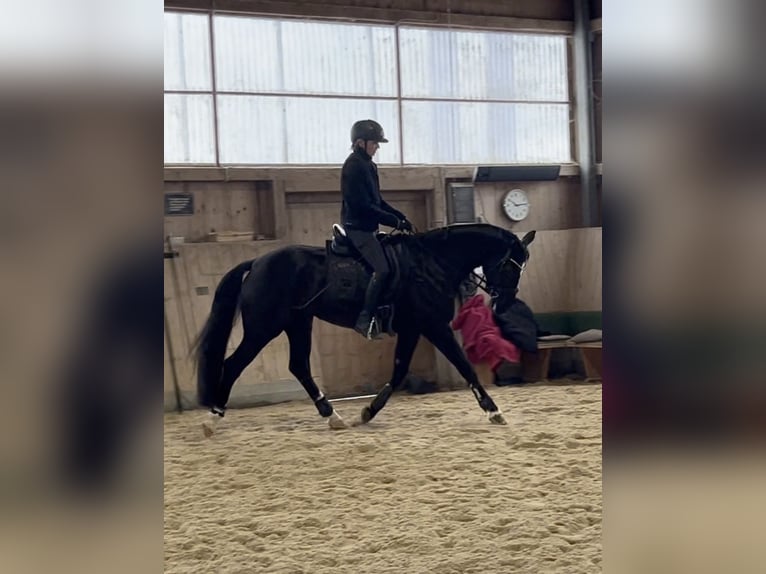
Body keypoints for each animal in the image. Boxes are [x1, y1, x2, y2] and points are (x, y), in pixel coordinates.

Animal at [193, 223, 536, 435]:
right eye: (510, 266)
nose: (504, 303)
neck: (432, 262)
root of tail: (257, 262)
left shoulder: (413, 327)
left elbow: (399, 370)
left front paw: (368, 411)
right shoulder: (433, 325)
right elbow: (464, 366)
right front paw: (493, 411)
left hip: (297, 323)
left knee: (299, 366)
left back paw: (333, 417)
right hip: (264, 328)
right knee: (233, 364)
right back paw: (212, 419)